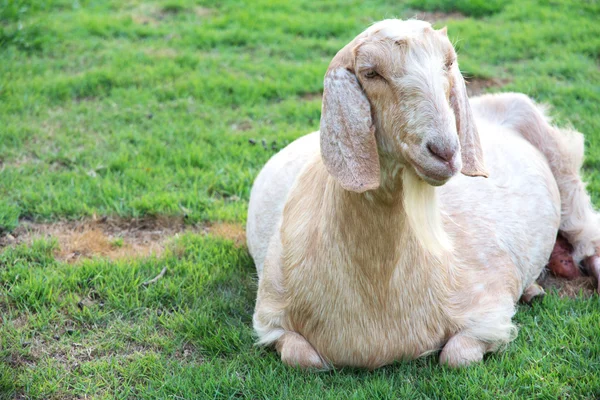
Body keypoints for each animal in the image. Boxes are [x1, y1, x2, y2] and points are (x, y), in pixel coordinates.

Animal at [245, 18, 600, 368]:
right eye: (370, 72)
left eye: (448, 63)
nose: (445, 151)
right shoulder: (270, 317)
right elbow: (302, 357)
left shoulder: (488, 310)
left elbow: (456, 356)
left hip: (547, 139)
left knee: (579, 211)